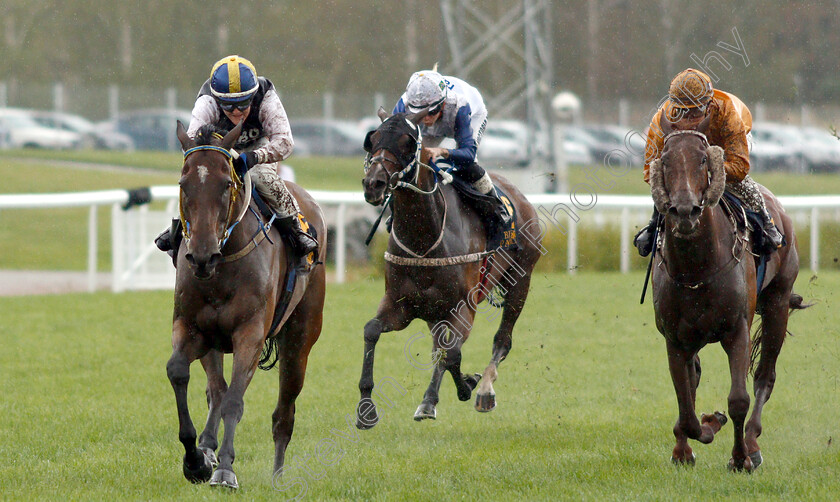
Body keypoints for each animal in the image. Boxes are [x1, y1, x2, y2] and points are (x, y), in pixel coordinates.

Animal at [166, 119, 326, 488]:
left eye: (226, 183)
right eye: (183, 184)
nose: (201, 256)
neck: (223, 264)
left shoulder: (250, 334)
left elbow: (234, 402)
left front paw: (225, 470)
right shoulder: (192, 327)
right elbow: (180, 372)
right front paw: (196, 460)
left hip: (300, 339)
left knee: (284, 412)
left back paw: (278, 475)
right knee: (216, 388)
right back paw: (207, 449)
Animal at [352, 107, 540, 428]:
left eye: (407, 143)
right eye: (372, 140)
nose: (373, 184)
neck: (424, 241)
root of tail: (522, 198)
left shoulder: (463, 307)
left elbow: (451, 354)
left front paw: (462, 387)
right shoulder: (401, 305)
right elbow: (371, 331)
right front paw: (366, 408)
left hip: (520, 280)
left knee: (501, 341)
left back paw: (484, 390)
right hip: (433, 311)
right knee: (439, 346)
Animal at [648, 115, 808, 472]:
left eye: (703, 159)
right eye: (665, 160)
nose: (685, 211)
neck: (697, 269)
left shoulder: (737, 329)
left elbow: (738, 400)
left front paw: (740, 458)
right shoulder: (675, 338)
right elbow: (686, 405)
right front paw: (692, 442)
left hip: (777, 303)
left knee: (765, 376)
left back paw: (752, 442)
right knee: (693, 378)